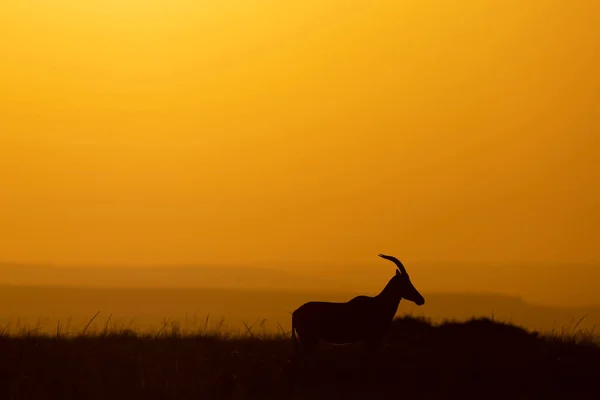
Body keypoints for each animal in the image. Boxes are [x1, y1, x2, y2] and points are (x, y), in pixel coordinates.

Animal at [292, 255, 424, 352]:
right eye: (405, 282)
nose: (421, 300)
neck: (378, 303)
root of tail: (295, 313)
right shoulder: (371, 339)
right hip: (308, 340)